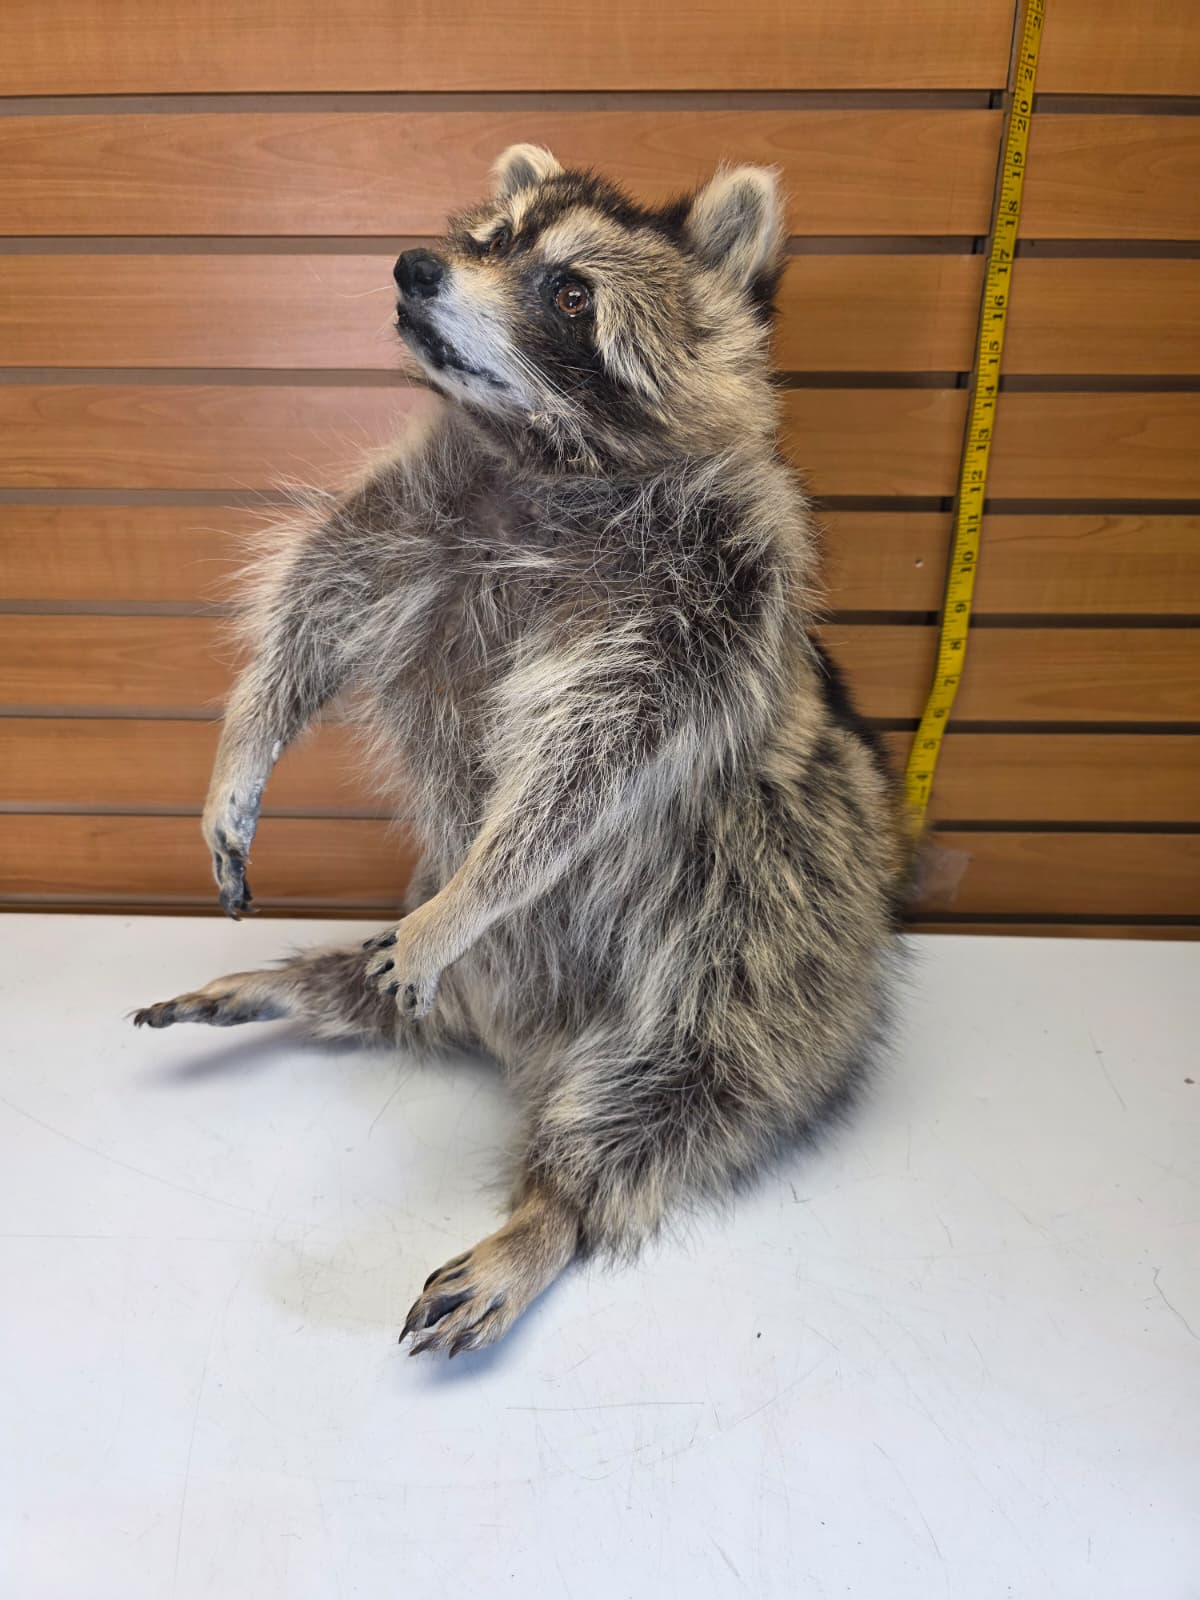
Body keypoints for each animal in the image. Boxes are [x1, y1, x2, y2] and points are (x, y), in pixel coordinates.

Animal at [134, 146, 908, 1357]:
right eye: (488, 238)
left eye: (571, 293)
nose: (413, 265)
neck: (543, 456)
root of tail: (516, 1044)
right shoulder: (415, 512)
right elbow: (315, 605)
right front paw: (242, 747)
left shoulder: (710, 597)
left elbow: (589, 769)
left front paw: (482, 882)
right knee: (390, 984)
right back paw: (308, 981)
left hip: (768, 945)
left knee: (685, 1078)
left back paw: (553, 1205)